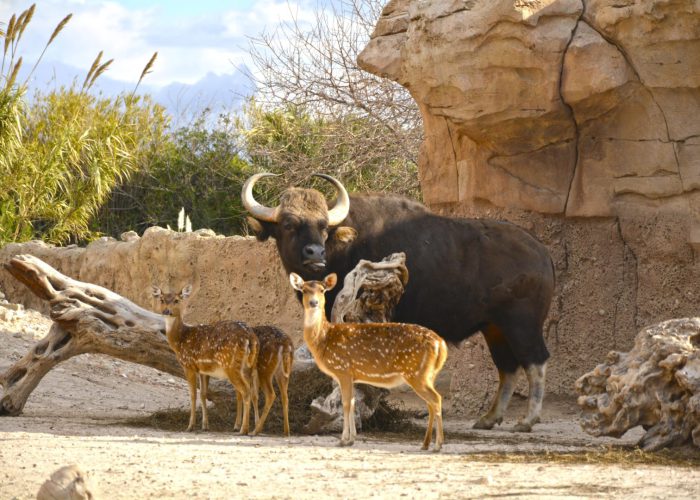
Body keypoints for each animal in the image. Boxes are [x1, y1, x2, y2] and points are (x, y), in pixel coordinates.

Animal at [152, 286, 258, 434]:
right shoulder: (203, 370)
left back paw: (244, 429)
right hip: (250, 365)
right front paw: (205, 425)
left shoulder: (188, 365)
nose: (166, 311)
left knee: (246, 392)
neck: (180, 340)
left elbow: (193, 395)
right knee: (254, 393)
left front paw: (190, 426)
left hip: (231, 365)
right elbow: (203, 394)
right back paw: (255, 428)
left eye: (177, 300)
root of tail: (249, 337)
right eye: (162, 299)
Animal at [290, 272, 448, 452]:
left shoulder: (343, 369)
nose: (313, 302)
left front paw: (343, 440)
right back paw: (425, 444)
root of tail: (441, 344)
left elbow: (345, 404)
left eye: (322, 290)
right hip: (427, 374)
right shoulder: (351, 375)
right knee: (430, 403)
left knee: (436, 399)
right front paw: (352, 439)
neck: (324, 340)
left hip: (417, 373)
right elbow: (352, 403)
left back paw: (438, 445)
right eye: (304, 290)